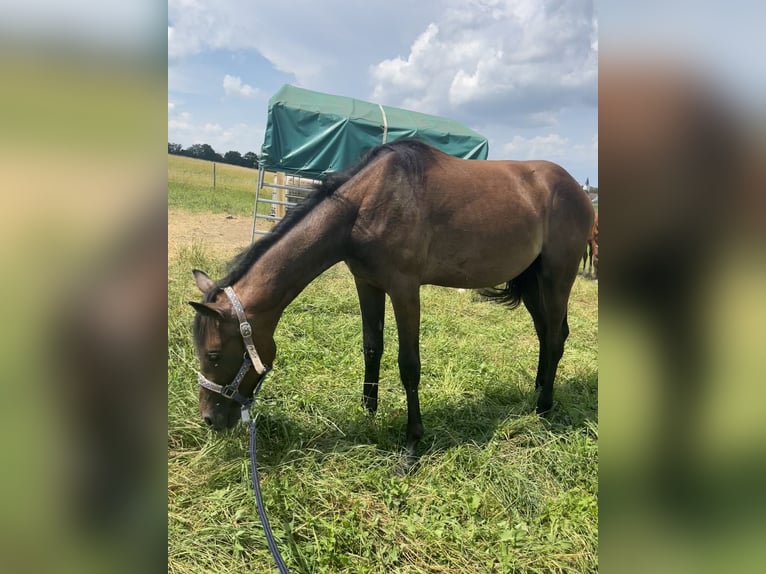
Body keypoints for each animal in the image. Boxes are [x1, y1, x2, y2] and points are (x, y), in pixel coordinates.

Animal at [189, 140, 596, 468]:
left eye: (213, 355)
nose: (209, 419)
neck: (367, 204)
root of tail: (578, 189)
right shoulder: (368, 283)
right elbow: (372, 346)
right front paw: (369, 411)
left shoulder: (404, 289)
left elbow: (408, 365)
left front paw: (412, 444)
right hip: (533, 280)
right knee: (546, 334)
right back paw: (538, 391)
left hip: (557, 276)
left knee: (555, 338)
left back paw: (544, 407)